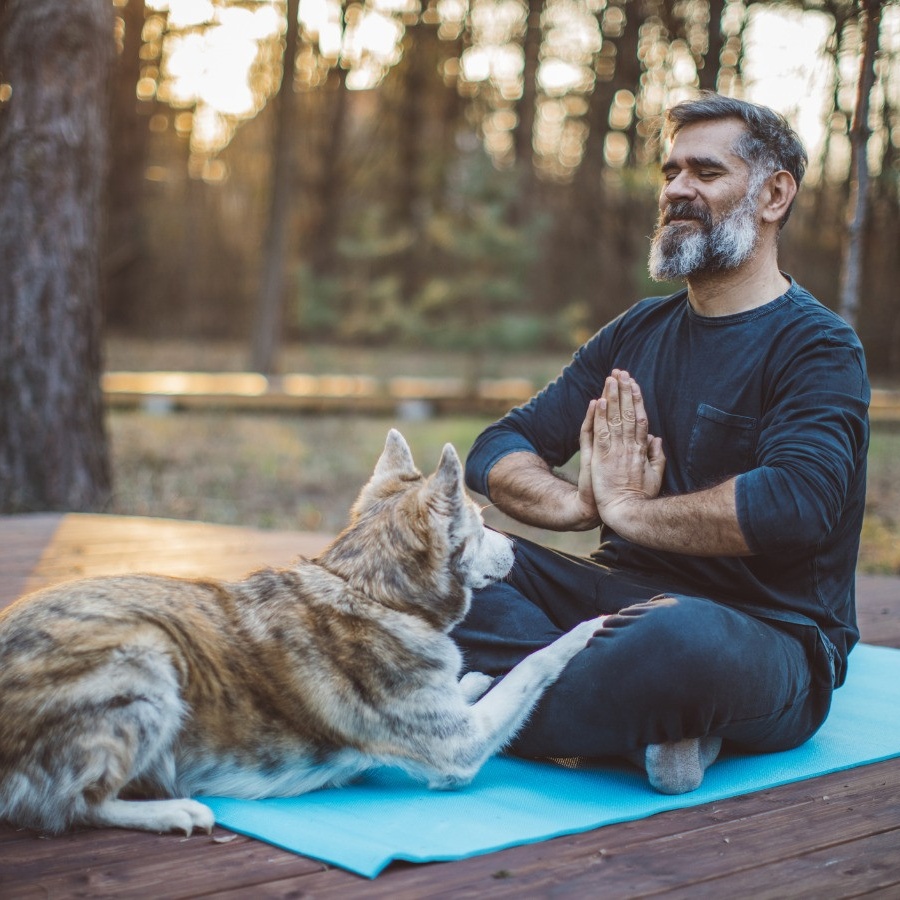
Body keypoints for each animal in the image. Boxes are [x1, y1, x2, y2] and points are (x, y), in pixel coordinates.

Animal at [1, 430, 604, 836]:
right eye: (478, 526)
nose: (516, 549)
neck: (368, 589)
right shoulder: (458, 749)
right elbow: (534, 662)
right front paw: (589, 627)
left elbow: (475, 684)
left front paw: (472, 679)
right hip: (146, 659)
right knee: (73, 807)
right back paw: (173, 811)